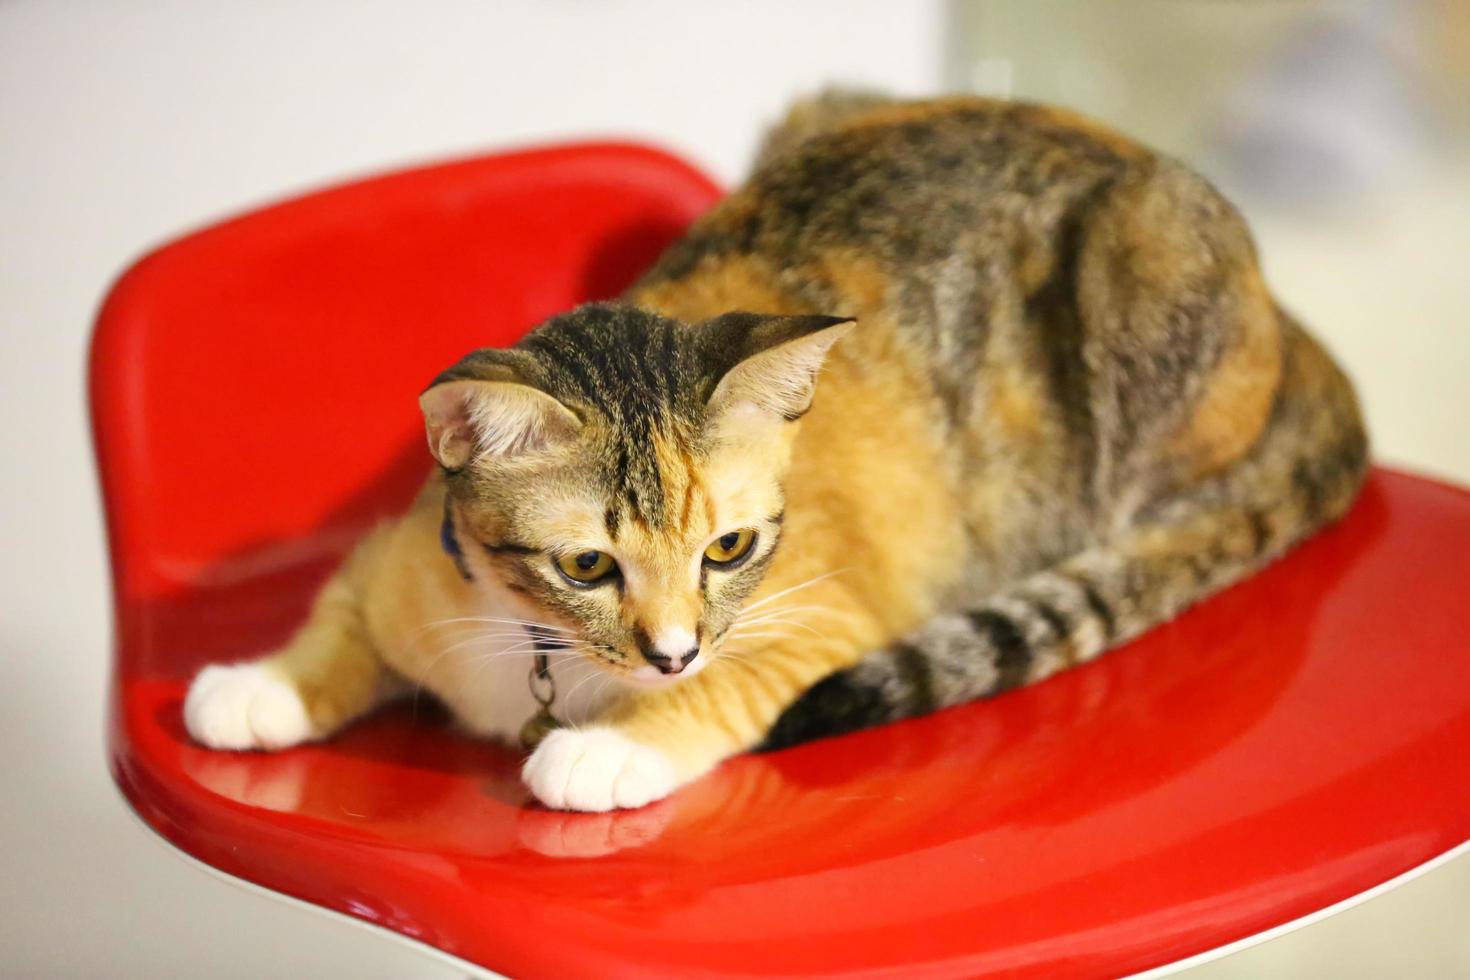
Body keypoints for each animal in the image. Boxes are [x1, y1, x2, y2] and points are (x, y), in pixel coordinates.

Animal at [180, 94, 1364, 811]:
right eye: (587, 563)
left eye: (729, 547)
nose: (670, 653)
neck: (532, 655)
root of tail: (1296, 327)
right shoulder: (402, 561)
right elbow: (342, 618)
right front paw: (261, 687)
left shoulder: (826, 609)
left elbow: (737, 683)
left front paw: (613, 746)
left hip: (1146, 262)